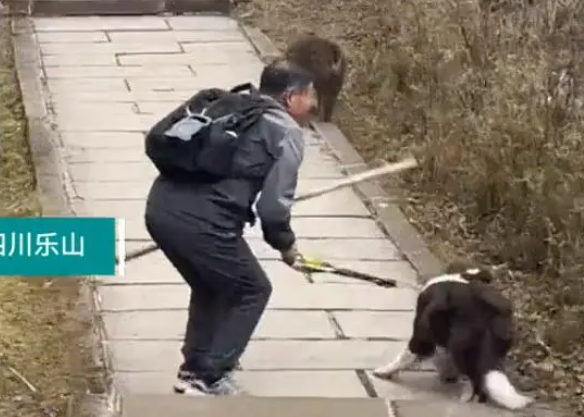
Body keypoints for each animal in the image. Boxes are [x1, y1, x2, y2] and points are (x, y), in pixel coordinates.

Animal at [374, 264, 532, 408]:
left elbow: (406, 356)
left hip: (460, 347)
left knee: (473, 379)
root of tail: (484, 313)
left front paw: (384, 371)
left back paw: (465, 398)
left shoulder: (423, 333)